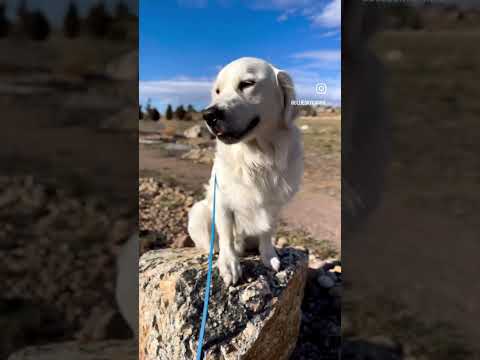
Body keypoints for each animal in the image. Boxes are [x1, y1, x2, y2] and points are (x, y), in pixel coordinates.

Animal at [187, 57, 302, 286]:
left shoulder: (275, 205)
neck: (257, 157)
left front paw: (269, 255)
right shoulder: (222, 200)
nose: (208, 115)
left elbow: (267, 230)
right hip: (198, 212)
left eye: (247, 83)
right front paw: (229, 264)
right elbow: (226, 234)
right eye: (218, 91)